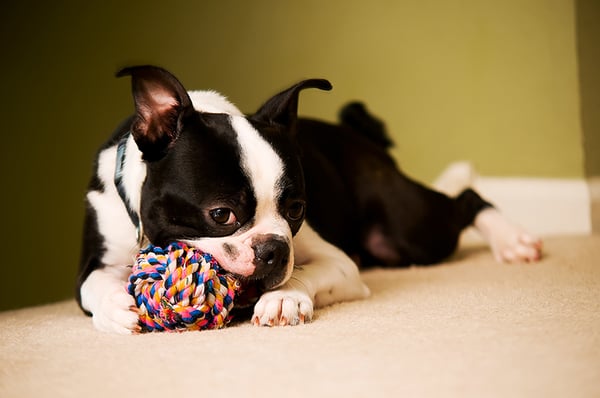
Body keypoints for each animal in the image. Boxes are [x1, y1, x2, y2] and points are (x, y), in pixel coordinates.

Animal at [76, 65, 544, 332]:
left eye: (297, 209)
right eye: (221, 214)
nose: (274, 250)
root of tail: (358, 137)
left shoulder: (341, 264)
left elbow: (308, 274)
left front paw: (285, 298)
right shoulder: (93, 261)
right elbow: (92, 286)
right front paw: (116, 306)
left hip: (408, 230)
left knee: (465, 199)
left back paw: (511, 240)